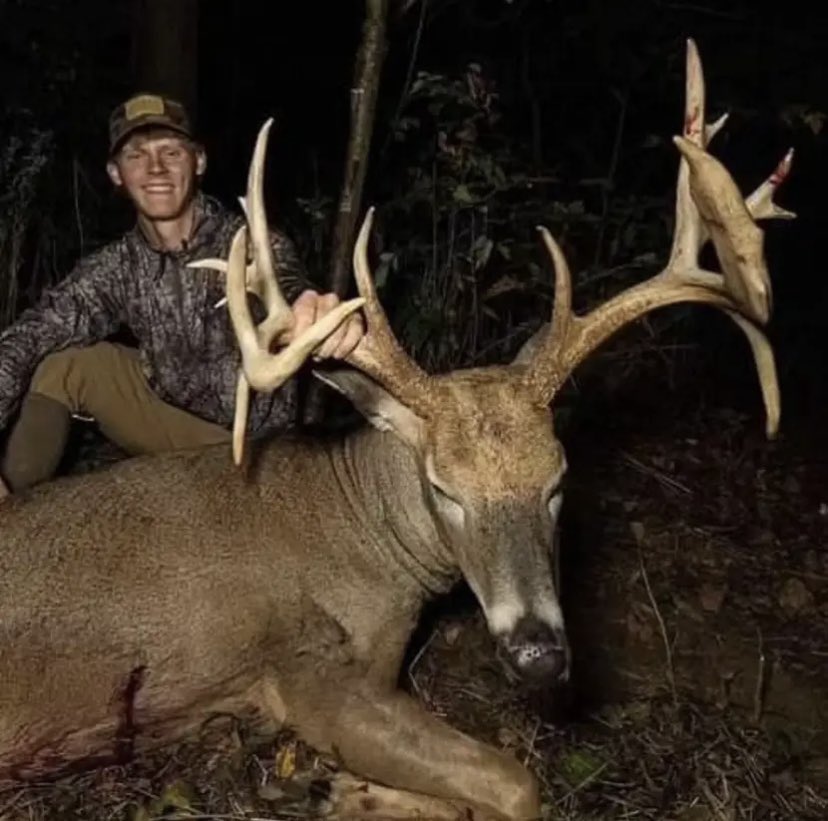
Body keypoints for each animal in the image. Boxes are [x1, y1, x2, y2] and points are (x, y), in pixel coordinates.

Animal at [0, 40, 793, 820]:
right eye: (444, 488)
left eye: (558, 480)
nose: (538, 653)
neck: (361, 537)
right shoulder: (307, 673)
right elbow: (517, 784)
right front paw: (343, 789)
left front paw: (340, 788)